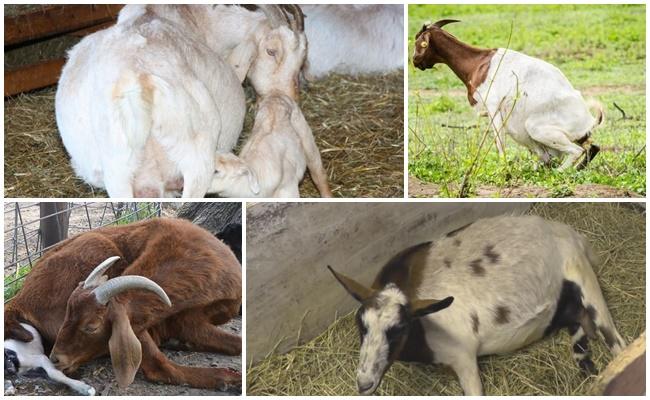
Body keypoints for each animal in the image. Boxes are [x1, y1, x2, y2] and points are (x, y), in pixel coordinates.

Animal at [3, 217, 242, 390]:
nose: (56, 359)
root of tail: (18, 301)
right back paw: (227, 379)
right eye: (67, 317)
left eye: (91, 326)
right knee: (159, 367)